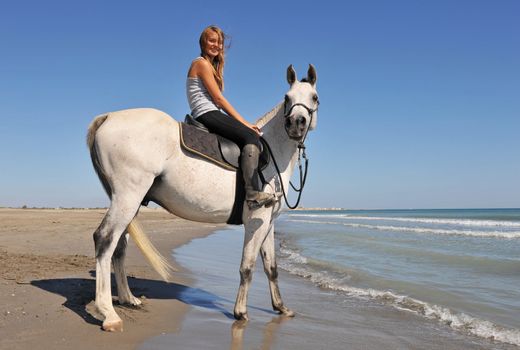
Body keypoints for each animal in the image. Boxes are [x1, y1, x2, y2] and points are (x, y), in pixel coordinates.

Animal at [87, 65, 316, 330]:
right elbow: (247, 267)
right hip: (128, 197)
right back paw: (109, 314)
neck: (271, 150)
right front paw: (240, 312)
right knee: (105, 239)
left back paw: (127, 299)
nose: (295, 124)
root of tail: (108, 116)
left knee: (119, 246)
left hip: (130, 203)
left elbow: (271, 267)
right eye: (287, 98)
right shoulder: (255, 219)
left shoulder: (267, 222)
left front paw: (280, 308)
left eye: (314, 98)